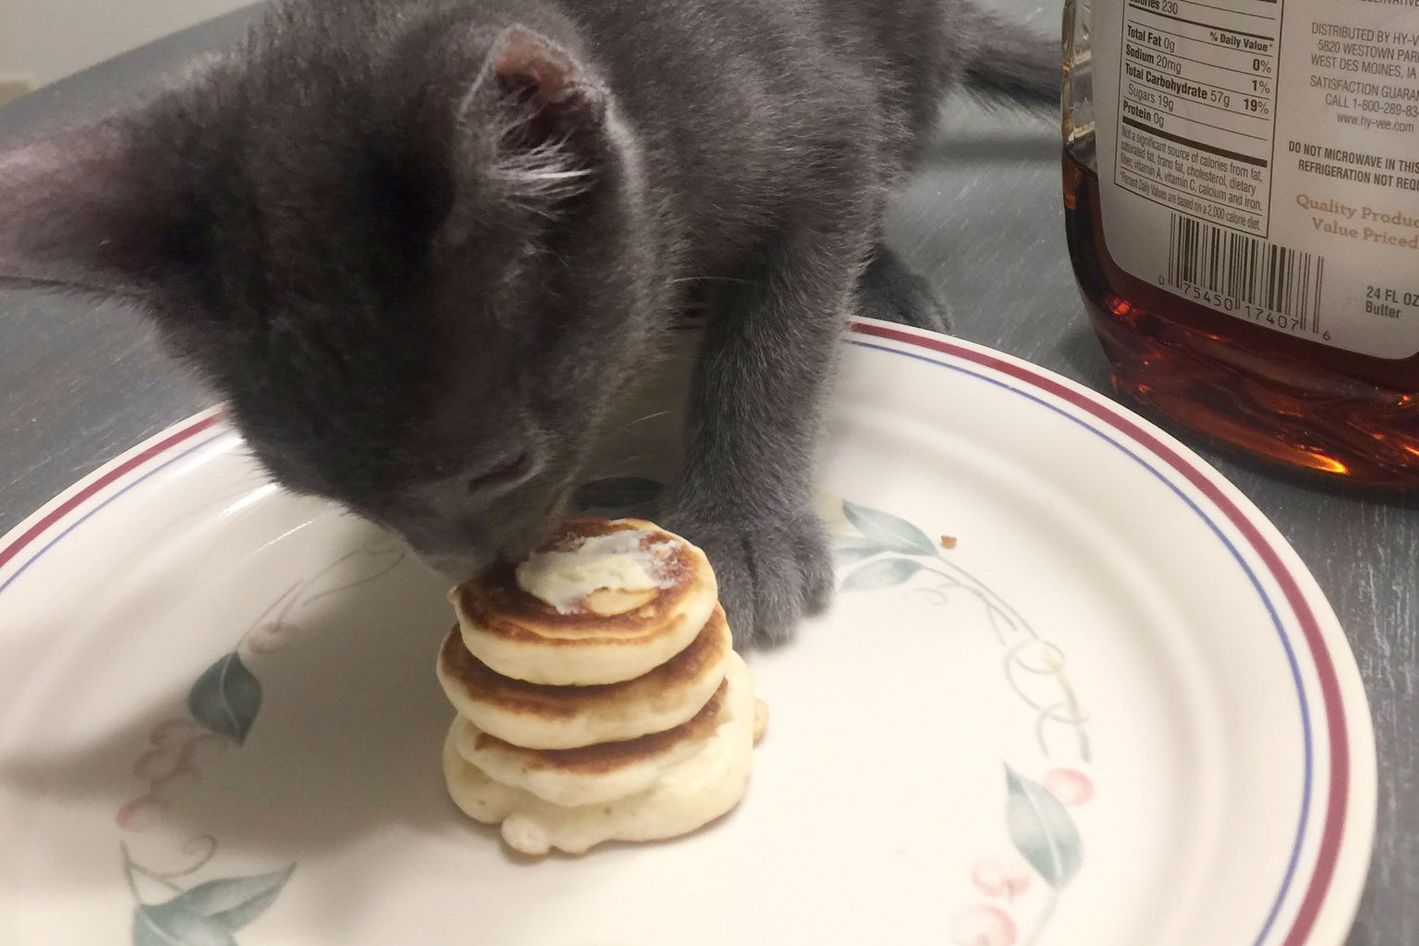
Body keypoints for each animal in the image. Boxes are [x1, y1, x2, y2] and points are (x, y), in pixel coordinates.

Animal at [0, 0, 1055, 643]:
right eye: (322, 494)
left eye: (501, 467)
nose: (462, 568)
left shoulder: (828, 126)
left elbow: (778, 336)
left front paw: (741, 522)